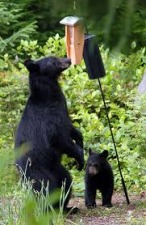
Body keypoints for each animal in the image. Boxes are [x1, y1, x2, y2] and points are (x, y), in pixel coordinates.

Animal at [14, 56, 84, 213]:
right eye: (53, 61)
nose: (68, 59)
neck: (48, 95)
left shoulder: (62, 112)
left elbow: (71, 128)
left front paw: (80, 140)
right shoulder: (49, 120)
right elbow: (60, 139)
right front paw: (80, 157)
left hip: (57, 168)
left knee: (66, 182)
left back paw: (67, 208)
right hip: (38, 172)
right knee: (46, 190)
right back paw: (48, 210)